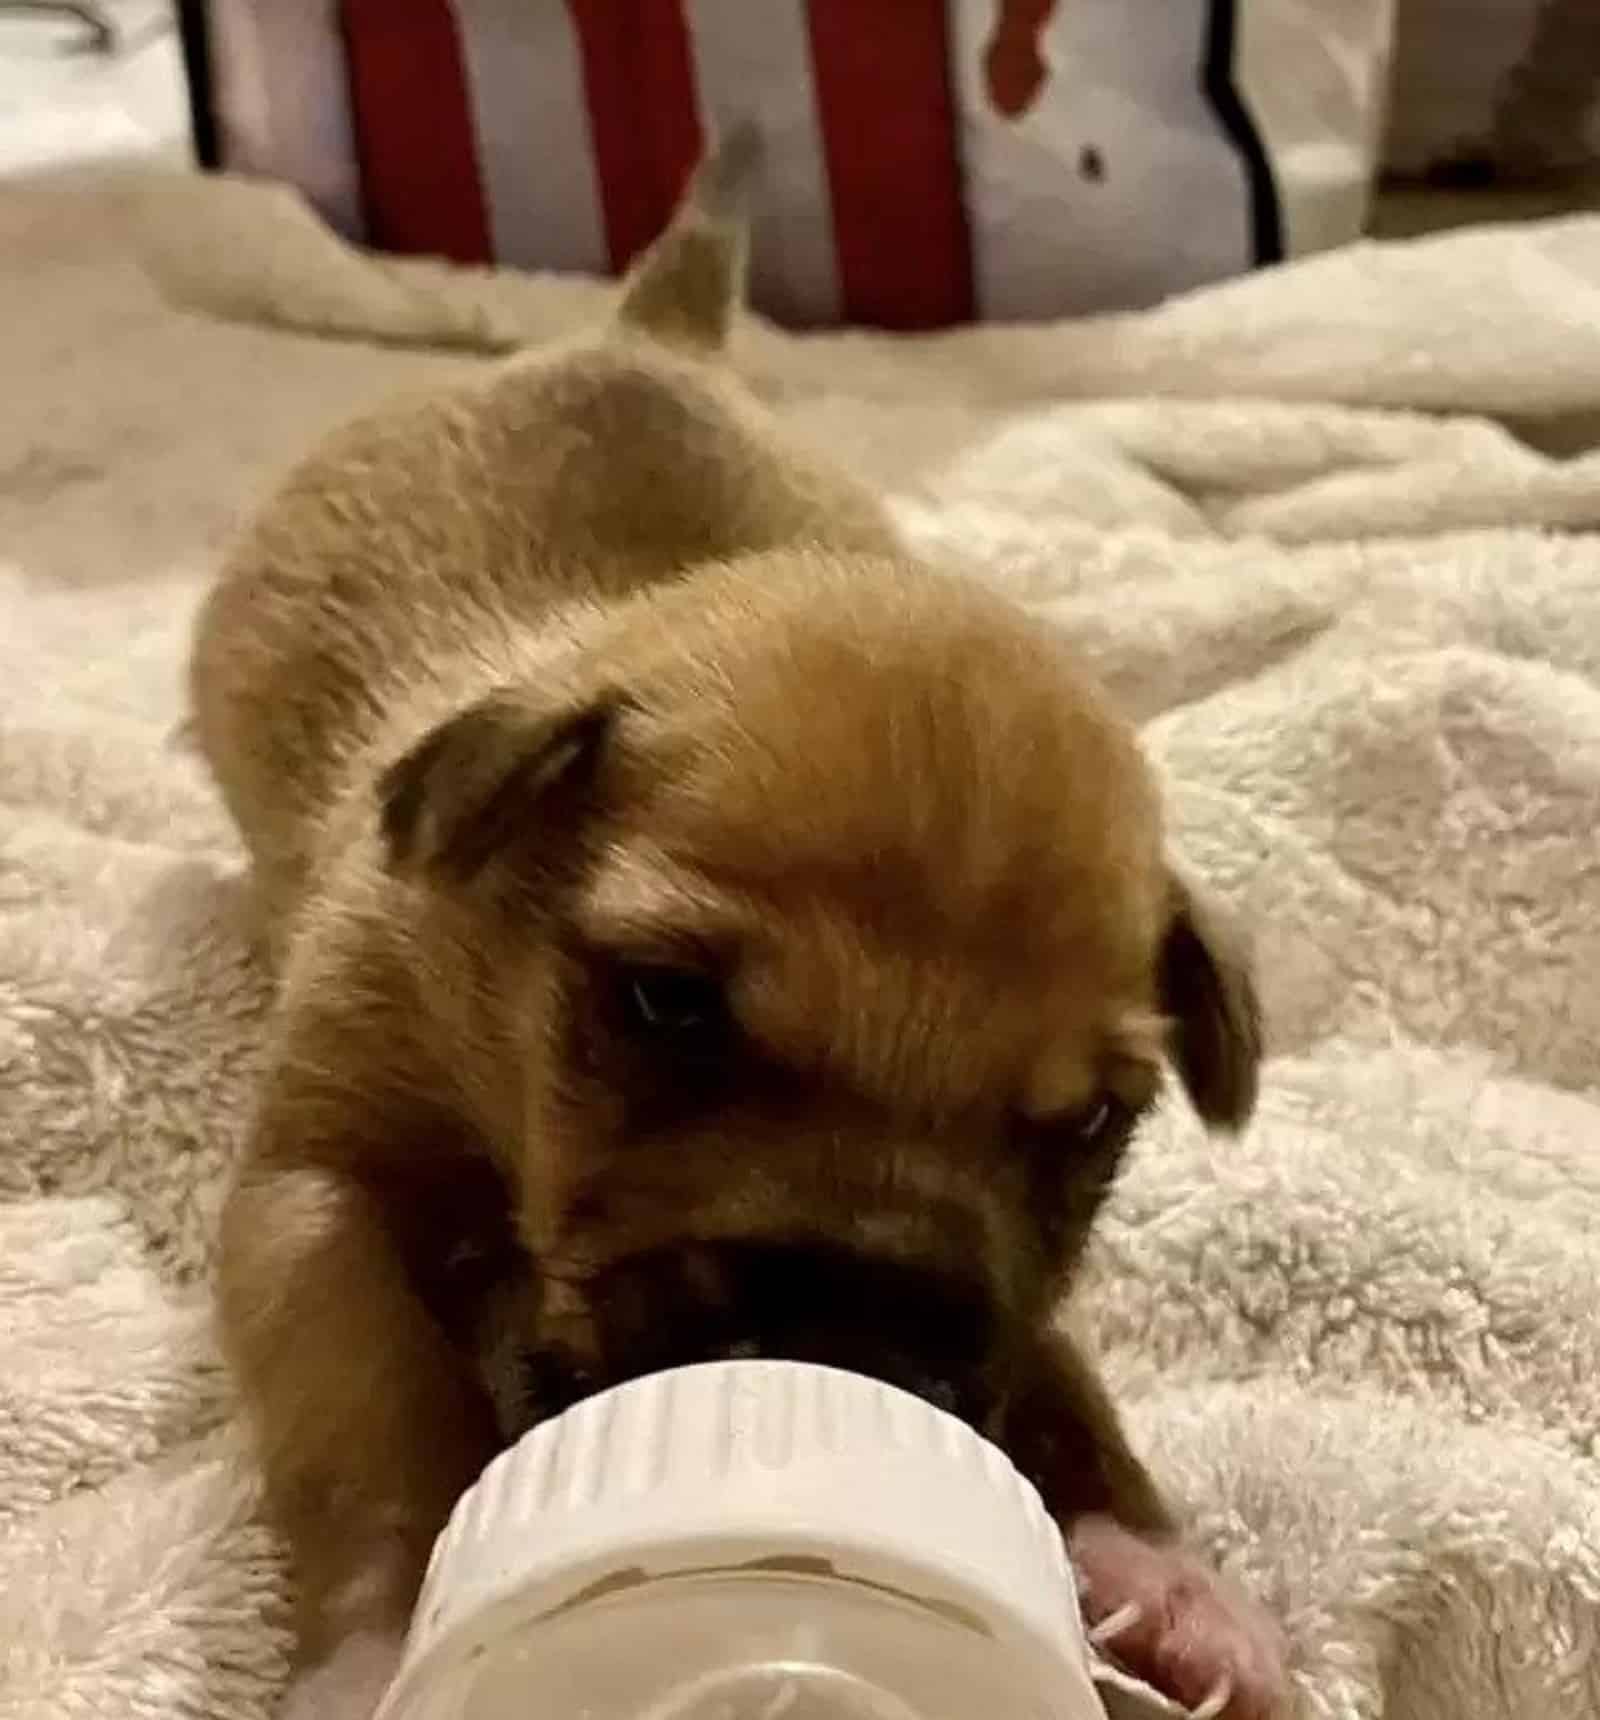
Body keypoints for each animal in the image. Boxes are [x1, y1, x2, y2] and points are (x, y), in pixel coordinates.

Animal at [193, 134, 1286, 1720]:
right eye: (669, 1004)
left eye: (1093, 1125)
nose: (860, 1337)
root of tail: (643, 333)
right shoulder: (317, 1188)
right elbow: (376, 1407)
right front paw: (386, 1628)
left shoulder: (1016, 1303)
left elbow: (1061, 1376)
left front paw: (1161, 1565)